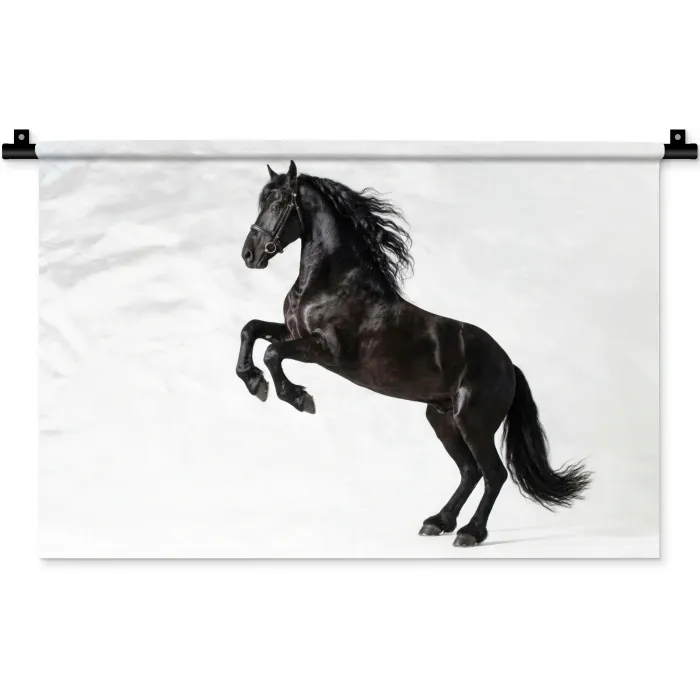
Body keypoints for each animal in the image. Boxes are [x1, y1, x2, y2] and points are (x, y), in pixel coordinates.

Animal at [236, 160, 591, 547]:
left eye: (277, 204)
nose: (250, 255)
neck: (331, 284)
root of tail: (509, 365)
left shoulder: (325, 349)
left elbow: (272, 352)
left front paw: (298, 398)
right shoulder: (294, 332)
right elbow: (251, 329)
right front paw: (254, 382)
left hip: (474, 423)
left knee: (493, 473)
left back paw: (470, 532)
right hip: (442, 419)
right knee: (470, 471)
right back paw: (437, 522)